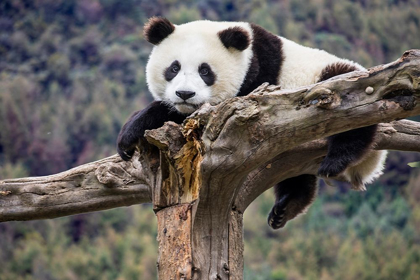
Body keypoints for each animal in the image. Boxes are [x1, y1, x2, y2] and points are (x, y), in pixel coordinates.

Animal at [115, 17, 388, 229]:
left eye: (205, 71)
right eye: (174, 68)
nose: (185, 94)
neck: (249, 52)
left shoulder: (256, 81)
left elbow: (191, 114)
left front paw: (133, 130)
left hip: (336, 84)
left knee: (348, 104)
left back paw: (337, 159)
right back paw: (285, 208)